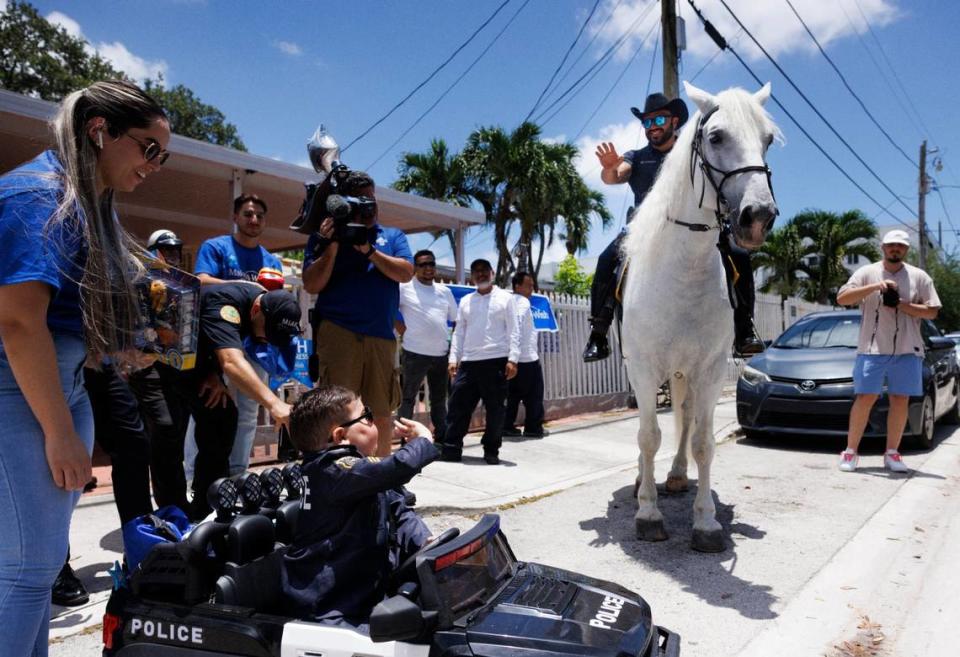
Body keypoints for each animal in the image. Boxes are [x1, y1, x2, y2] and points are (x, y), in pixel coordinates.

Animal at [624, 82, 780, 552]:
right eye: (716, 137)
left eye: (768, 140)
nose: (758, 217)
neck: (684, 270)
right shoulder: (643, 367)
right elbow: (648, 436)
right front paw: (648, 512)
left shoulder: (710, 369)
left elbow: (703, 443)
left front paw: (706, 522)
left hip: (686, 372)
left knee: (686, 418)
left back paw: (676, 476)